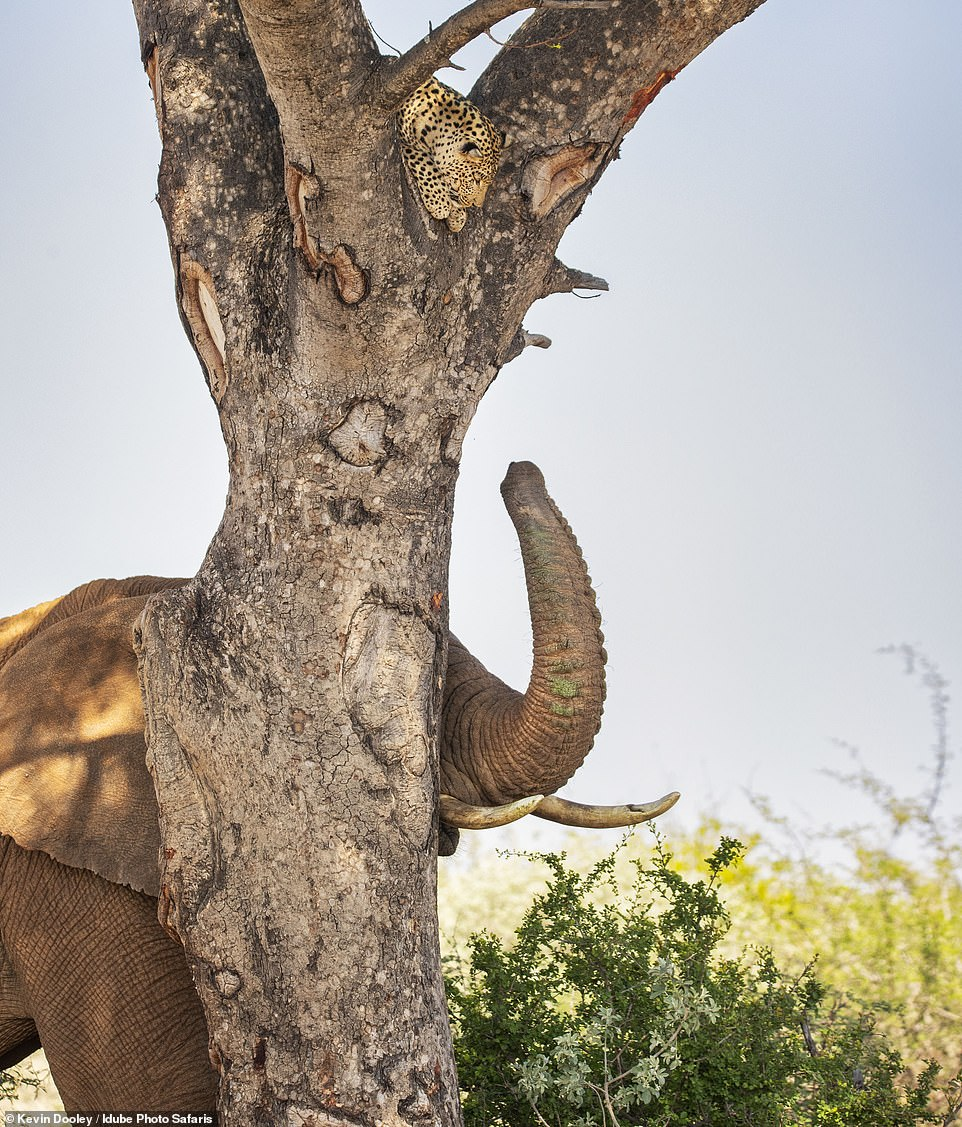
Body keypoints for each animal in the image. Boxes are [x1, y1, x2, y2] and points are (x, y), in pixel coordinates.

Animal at [396, 76, 504, 231]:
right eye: (476, 180)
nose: (476, 204)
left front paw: (458, 216)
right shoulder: (403, 141)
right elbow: (425, 164)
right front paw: (439, 203)